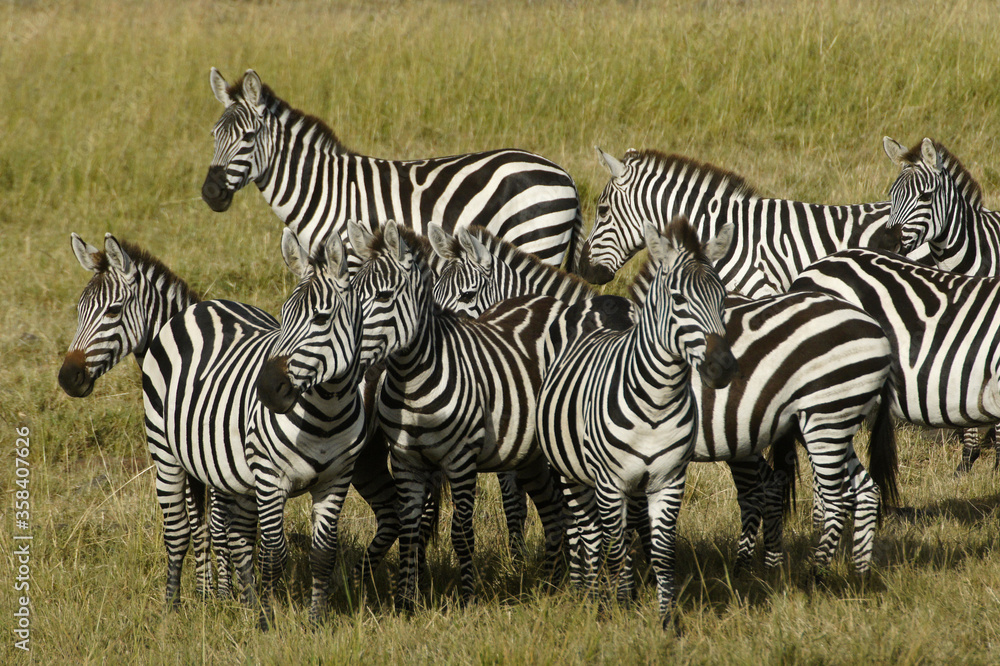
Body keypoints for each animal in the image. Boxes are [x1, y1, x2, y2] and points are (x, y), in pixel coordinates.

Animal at [141, 229, 383, 626]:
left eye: (322, 318)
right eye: (284, 316)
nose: (267, 389)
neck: (327, 412)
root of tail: (204, 305)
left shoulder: (336, 480)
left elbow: (323, 554)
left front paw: (313, 622)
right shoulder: (271, 478)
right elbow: (274, 553)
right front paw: (266, 622)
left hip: (234, 473)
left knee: (238, 537)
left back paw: (245, 602)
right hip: (165, 452)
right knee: (177, 534)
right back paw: (172, 608)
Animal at [202, 68, 584, 270]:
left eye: (248, 137)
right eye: (214, 134)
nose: (210, 193)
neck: (323, 191)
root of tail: (563, 174)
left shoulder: (353, 257)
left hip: (538, 241)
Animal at [348, 219, 579, 612]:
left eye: (383, 297)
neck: (411, 379)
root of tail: (547, 302)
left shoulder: (460, 459)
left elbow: (461, 531)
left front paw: (467, 597)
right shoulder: (406, 461)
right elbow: (410, 529)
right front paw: (405, 601)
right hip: (530, 454)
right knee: (553, 510)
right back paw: (552, 582)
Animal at [431, 223, 898, 577]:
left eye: (468, 295)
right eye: (432, 290)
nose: (437, 342)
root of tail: (874, 327)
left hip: (822, 417)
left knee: (827, 495)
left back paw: (809, 574)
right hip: (829, 420)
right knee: (859, 489)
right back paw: (848, 572)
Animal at [535, 217, 737, 630]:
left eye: (722, 298)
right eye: (678, 299)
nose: (722, 367)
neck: (656, 403)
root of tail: (601, 309)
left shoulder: (668, 481)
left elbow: (661, 552)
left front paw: (666, 621)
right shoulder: (610, 483)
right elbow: (612, 548)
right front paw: (617, 611)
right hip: (573, 475)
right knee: (590, 536)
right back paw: (591, 598)